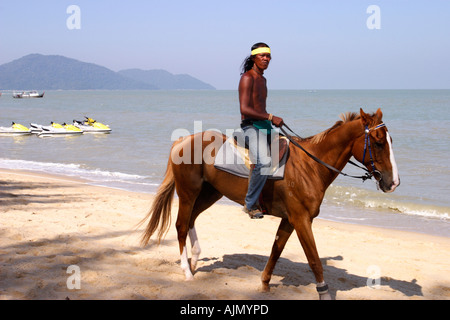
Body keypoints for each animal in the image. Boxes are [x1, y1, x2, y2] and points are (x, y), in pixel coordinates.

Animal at [141, 108, 400, 300]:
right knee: (181, 226)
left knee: (191, 220)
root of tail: (183, 140)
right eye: (378, 142)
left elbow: (276, 251)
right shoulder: (301, 220)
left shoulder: (290, 219)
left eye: (390, 140)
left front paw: (265, 284)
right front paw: (324, 293)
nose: (393, 182)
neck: (310, 166)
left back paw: (194, 260)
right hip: (188, 193)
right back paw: (187, 271)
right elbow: (314, 260)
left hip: (209, 193)